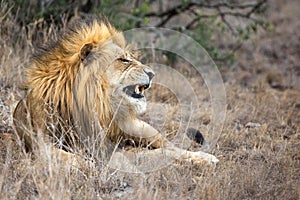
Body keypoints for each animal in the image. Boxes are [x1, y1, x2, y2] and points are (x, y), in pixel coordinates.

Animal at [13, 18, 218, 169]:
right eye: (124, 60)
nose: (152, 73)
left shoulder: (105, 147)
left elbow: (151, 154)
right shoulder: (41, 142)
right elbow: (61, 156)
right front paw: (84, 164)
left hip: (142, 129)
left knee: (171, 147)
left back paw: (204, 157)